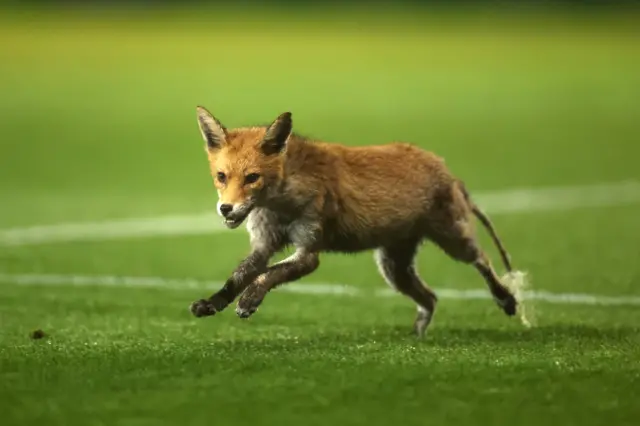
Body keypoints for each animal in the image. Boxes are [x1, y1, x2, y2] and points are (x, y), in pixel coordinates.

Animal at [191, 105, 528, 336]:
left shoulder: (309, 251)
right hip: (394, 268)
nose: (226, 209)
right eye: (221, 177)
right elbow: (237, 277)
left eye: (252, 178)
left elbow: (267, 276)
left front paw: (250, 299)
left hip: (453, 242)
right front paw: (213, 302)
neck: (281, 204)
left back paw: (506, 299)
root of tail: (445, 167)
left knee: (482, 260)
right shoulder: (264, 244)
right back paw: (419, 336)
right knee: (431, 298)